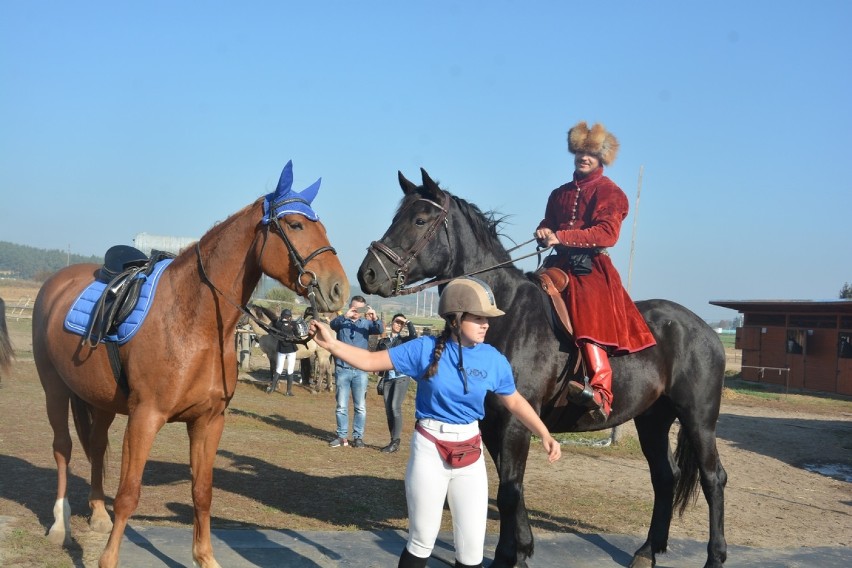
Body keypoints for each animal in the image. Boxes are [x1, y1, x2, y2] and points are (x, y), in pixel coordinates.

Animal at [31, 161, 348, 568]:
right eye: (294, 225)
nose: (339, 288)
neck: (193, 322)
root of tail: (55, 284)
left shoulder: (208, 420)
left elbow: (202, 492)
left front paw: (205, 557)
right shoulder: (145, 417)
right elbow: (129, 493)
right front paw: (107, 559)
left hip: (100, 400)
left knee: (97, 446)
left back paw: (98, 514)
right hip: (54, 388)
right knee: (63, 448)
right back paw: (60, 525)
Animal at [356, 170, 728, 568]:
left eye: (420, 220)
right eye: (398, 216)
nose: (368, 273)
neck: (501, 315)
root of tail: (705, 330)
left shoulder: (516, 423)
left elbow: (509, 491)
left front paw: (508, 556)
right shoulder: (493, 424)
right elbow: (512, 489)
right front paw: (520, 549)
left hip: (698, 420)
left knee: (713, 478)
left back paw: (714, 556)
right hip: (653, 419)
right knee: (665, 477)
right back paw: (647, 551)